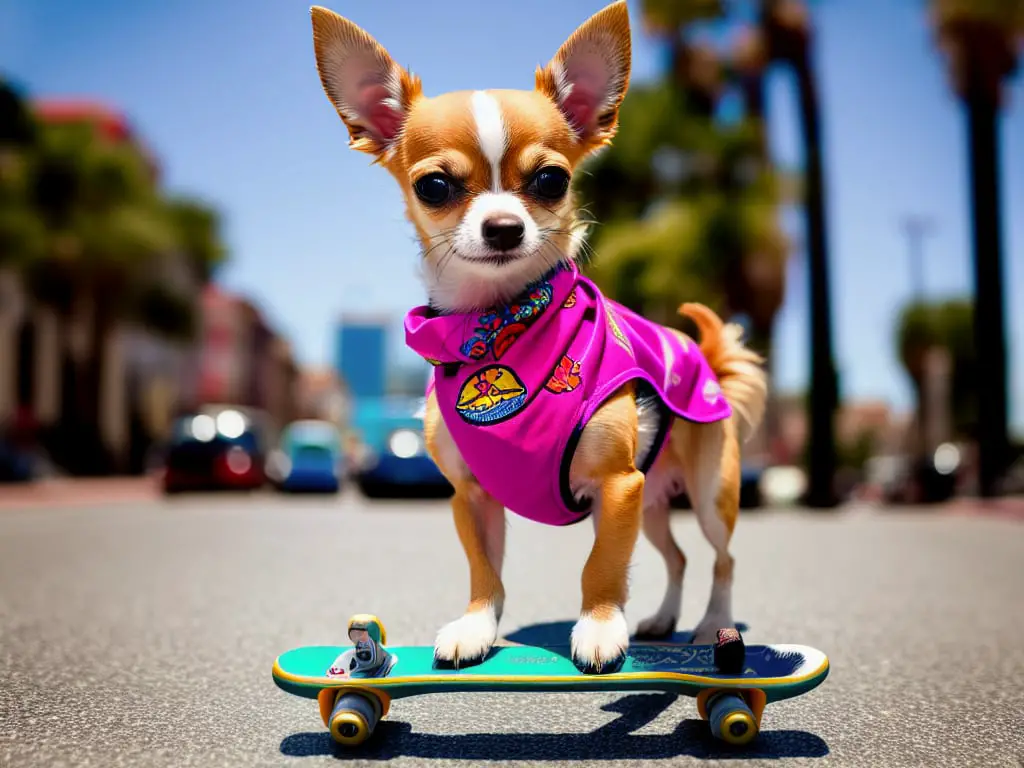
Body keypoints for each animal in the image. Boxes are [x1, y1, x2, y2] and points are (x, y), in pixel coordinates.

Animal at [311, 0, 770, 671]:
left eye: (551, 180)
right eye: (434, 186)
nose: (503, 227)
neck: (500, 328)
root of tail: (702, 358)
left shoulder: (617, 485)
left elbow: (600, 568)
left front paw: (600, 628)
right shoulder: (473, 497)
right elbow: (485, 571)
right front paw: (477, 626)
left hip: (708, 493)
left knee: (723, 558)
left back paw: (713, 625)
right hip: (654, 502)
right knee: (679, 556)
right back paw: (662, 618)